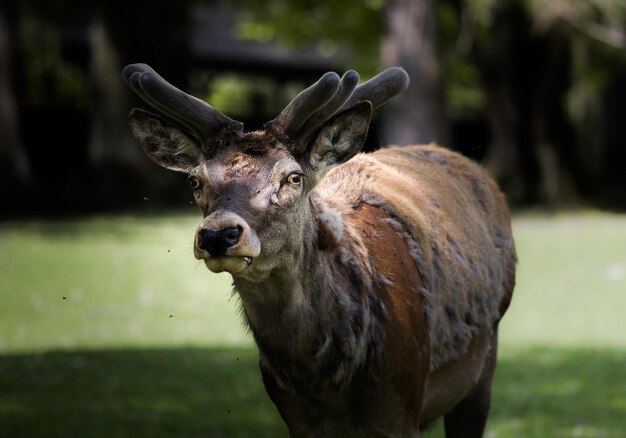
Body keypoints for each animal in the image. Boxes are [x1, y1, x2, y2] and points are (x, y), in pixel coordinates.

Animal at [123, 62, 516, 438]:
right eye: (196, 180)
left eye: (293, 177)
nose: (218, 234)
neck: (326, 379)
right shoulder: (297, 420)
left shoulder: (402, 410)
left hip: (483, 366)